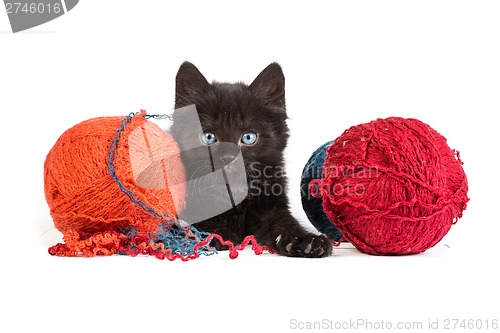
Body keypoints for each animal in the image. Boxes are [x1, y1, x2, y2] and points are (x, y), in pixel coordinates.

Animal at [169, 61, 332, 256]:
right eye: (208, 137)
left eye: (248, 137)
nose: (228, 157)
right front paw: (218, 235)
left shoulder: (272, 206)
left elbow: (285, 222)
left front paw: (307, 241)